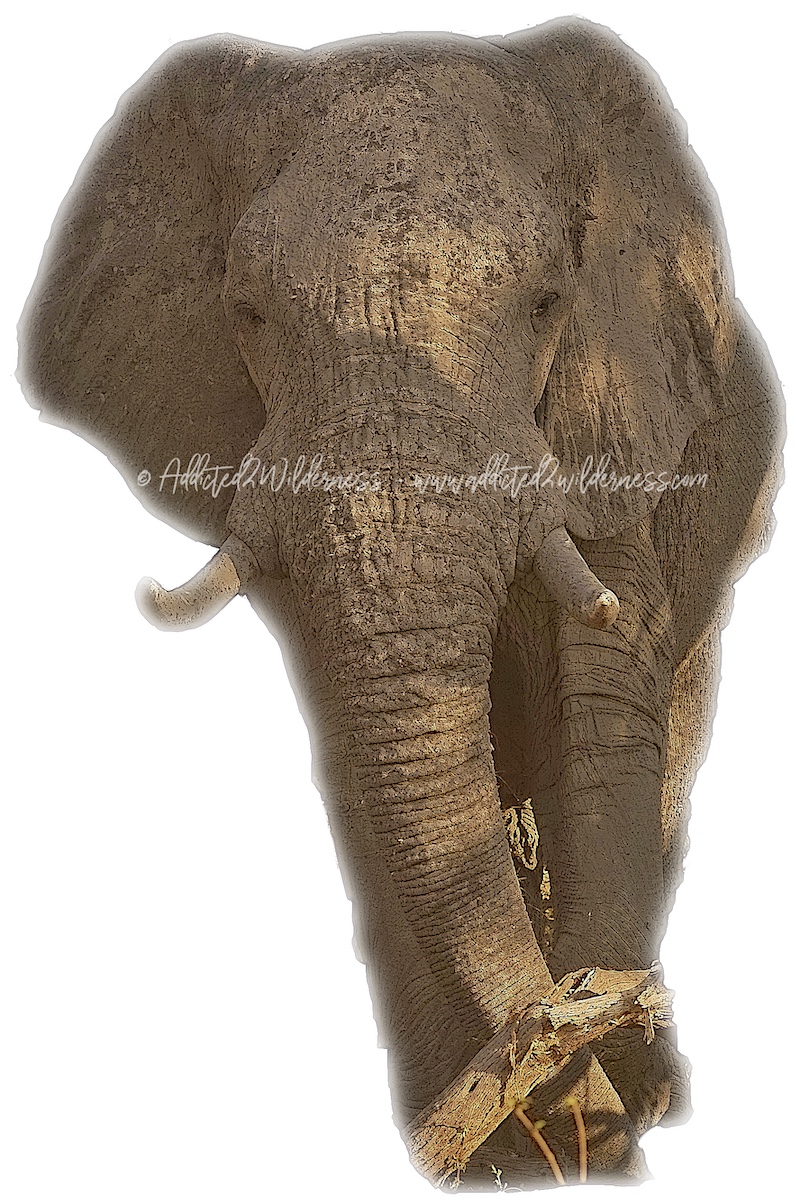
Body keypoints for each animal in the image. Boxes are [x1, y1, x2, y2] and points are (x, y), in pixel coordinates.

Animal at [17, 15, 784, 1190]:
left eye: (547, 303)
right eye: (245, 312)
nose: (568, 1028)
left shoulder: (615, 405)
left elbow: (607, 697)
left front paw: (609, 1101)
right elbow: (357, 748)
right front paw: (496, 1130)